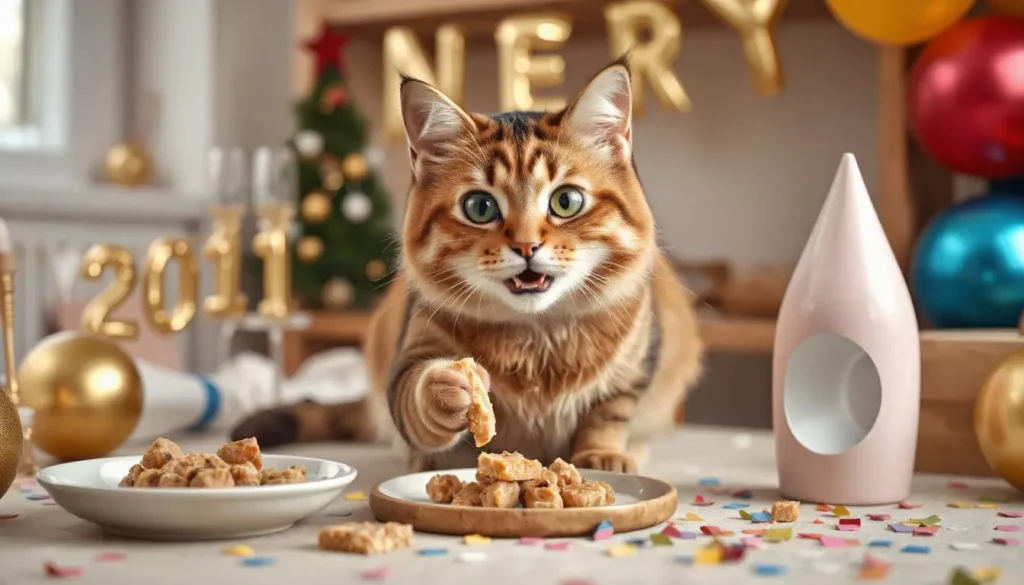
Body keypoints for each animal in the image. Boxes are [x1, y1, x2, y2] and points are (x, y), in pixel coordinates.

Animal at [230, 57, 704, 473]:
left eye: (566, 201)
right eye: (480, 207)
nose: (527, 245)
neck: (538, 340)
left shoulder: (636, 363)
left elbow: (606, 415)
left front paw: (601, 456)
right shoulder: (411, 349)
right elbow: (413, 399)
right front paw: (446, 392)